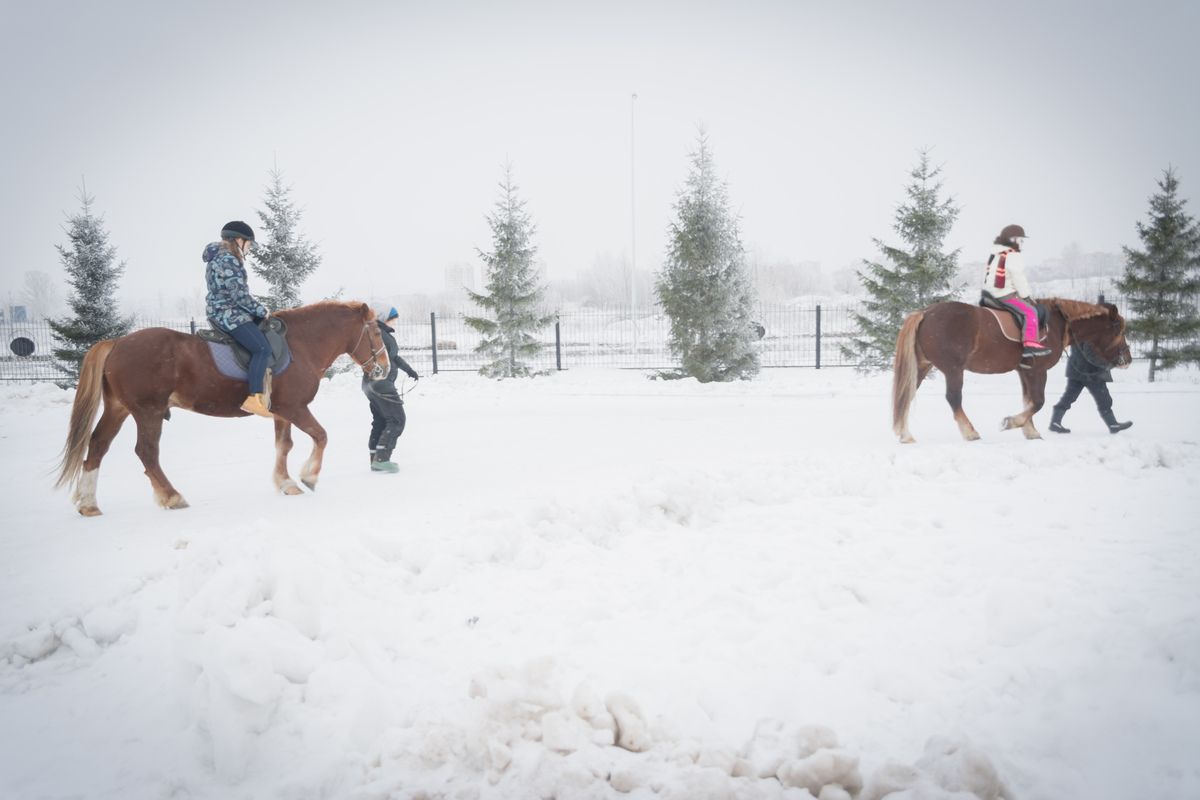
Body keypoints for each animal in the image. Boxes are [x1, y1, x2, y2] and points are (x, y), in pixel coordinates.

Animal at [56, 298, 386, 513]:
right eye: (376, 333)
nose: (383, 368)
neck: (300, 345)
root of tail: (117, 343)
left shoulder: (282, 412)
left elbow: (284, 445)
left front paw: (285, 483)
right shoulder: (295, 408)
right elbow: (320, 436)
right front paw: (309, 476)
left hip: (119, 409)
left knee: (98, 446)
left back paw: (89, 503)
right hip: (148, 411)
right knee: (146, 452)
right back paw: (172, 497)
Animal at [892, 298, 1132, 441]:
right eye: (1118, 329)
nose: (1127, 359)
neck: (1056, 324)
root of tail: (926, 312)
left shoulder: (1024, 371)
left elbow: (1029, 401)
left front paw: (1030, 430)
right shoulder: (1038, 371)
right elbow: (1038, 401)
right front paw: (1012, 423)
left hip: (923, 366)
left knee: (907, 394)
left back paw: (905, 434)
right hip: (953, 370)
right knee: (953, 398)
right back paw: (970, 432)